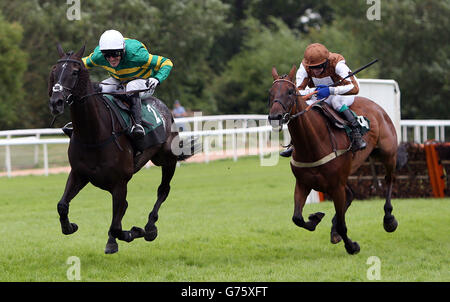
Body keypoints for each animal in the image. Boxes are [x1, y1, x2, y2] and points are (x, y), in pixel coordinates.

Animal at [48, 44, 198, 252]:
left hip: (167, 159)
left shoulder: (120, 183)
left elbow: (117, 226)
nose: (56, 102)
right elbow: (62, 205)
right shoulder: (79, 174)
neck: (93, 135)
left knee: (163, 190)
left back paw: (150, 228)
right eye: (54, 71)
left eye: (75, 72)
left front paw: (135, 232)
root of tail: (165, 109)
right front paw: (70, 226)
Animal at [268, 65, 398, 255]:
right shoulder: (303, 183)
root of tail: (377, 107)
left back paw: (389, 219)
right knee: (351, 194)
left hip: (388, 153)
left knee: (389, 180)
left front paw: (351, 246)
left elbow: (344, 225)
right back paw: (334, 229)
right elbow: (297, 218)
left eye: (290, 92)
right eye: (270, 92)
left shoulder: (336, 186)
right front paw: (315, 218)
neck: (312, 143)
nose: (275, 117)